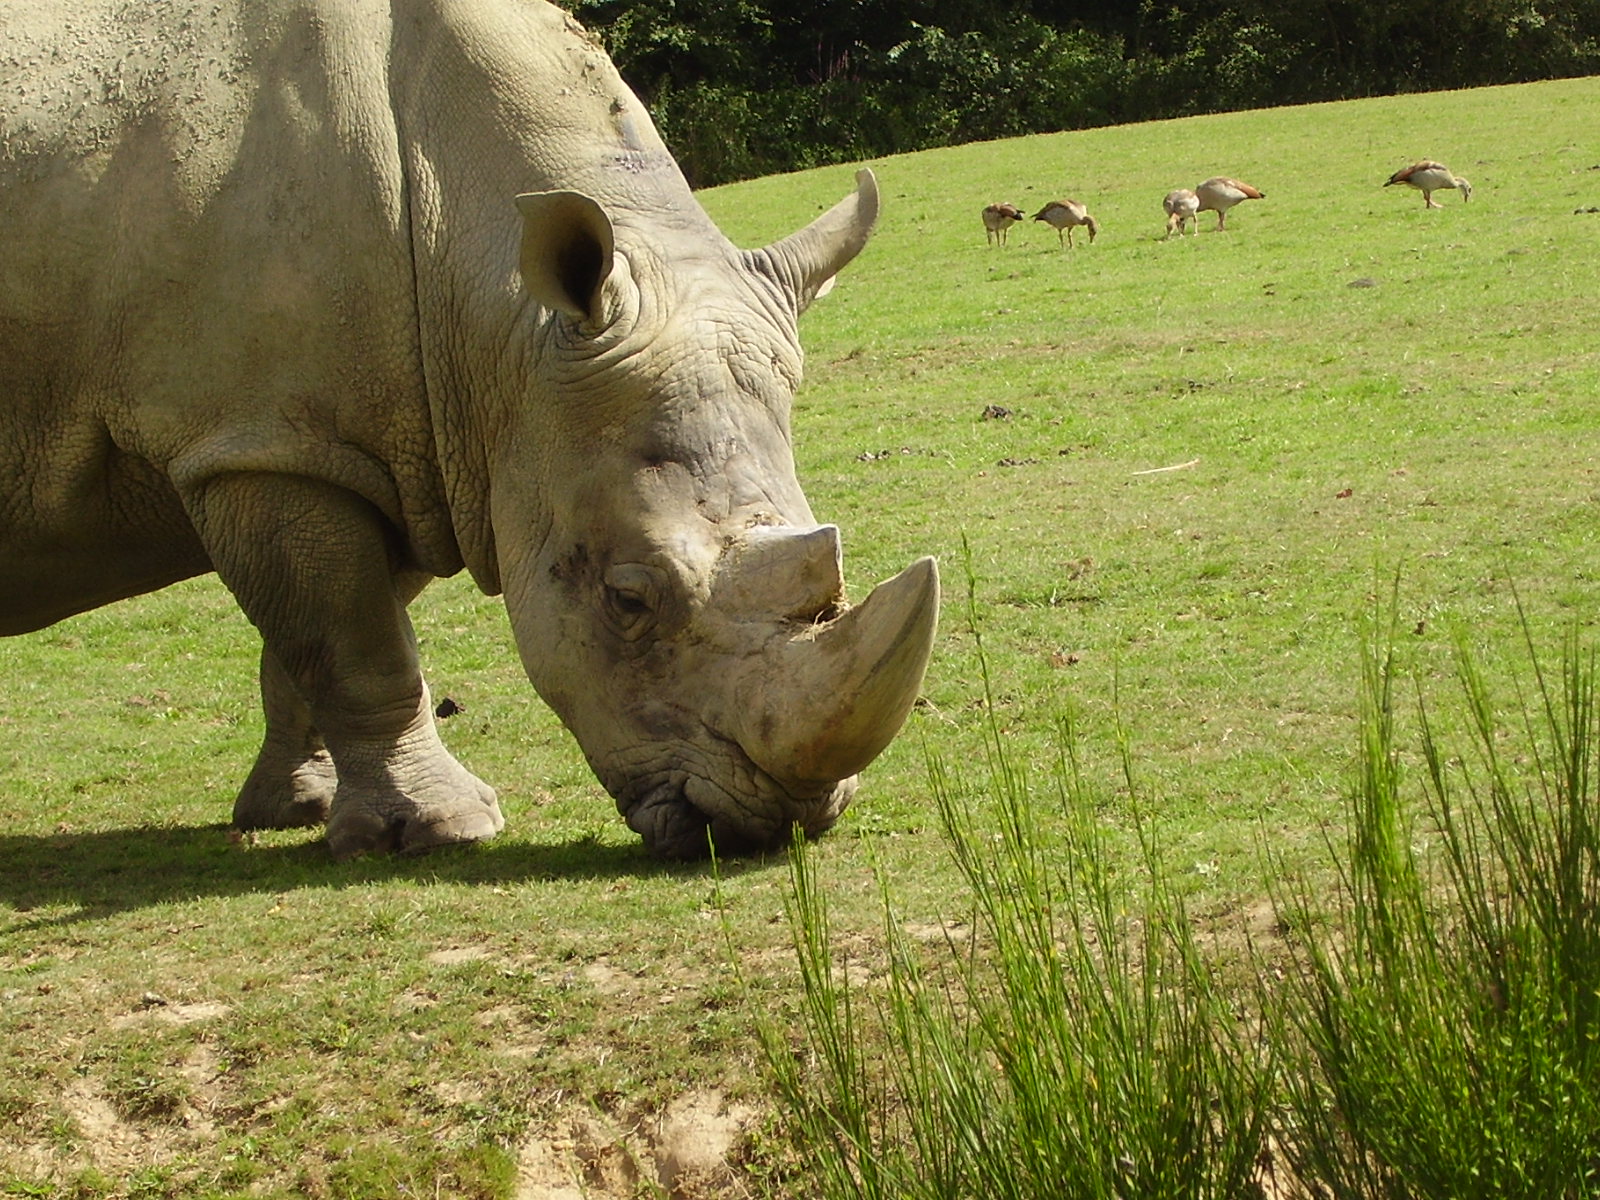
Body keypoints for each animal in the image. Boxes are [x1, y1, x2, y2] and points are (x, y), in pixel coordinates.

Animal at [0, 0, 938, 860]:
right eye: (627, 600)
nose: (777, 820)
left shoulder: (416, 446)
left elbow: (322, 635)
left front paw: (297, 808)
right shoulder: (262, 443)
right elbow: (354, 640)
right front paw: (435, 832)